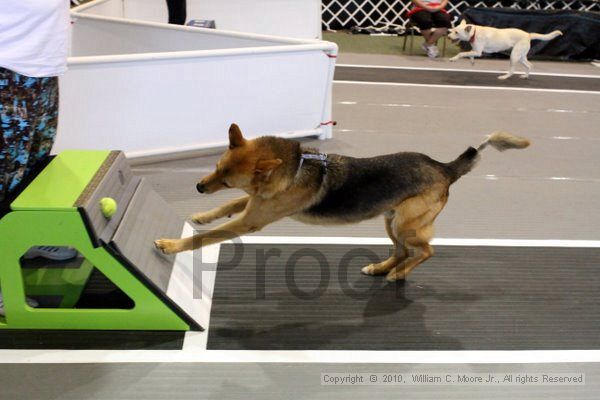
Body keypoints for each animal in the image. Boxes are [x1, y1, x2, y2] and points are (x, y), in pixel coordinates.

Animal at [155, 125, 528, 282]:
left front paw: (172, 245)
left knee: (425, 251)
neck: (296, 166)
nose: (199, 186)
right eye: (217, 168)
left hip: (407, 224)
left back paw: (398, 275)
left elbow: (204, 237)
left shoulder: (250, 220)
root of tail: (444, 167)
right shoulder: (254, 202)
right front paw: (203, 214)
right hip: (391, 221)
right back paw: (381, 269)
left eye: (226, 178)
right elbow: (226, 208)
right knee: (402, 251)